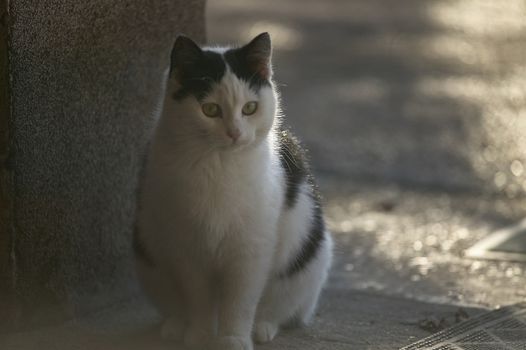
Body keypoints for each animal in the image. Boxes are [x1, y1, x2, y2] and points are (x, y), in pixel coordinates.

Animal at [136, 32, 334, 350]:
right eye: (210, 109)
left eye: (250, 108)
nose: (235, 133)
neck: (219, 165)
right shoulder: (188, 248)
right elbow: (198, 299)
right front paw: (200, 335)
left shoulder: (249, 250)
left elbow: (240, 301)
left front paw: (233, 339)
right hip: (149, 260)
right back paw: (177, 326)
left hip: (309, 263)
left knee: (281, 308)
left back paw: (263, 327)